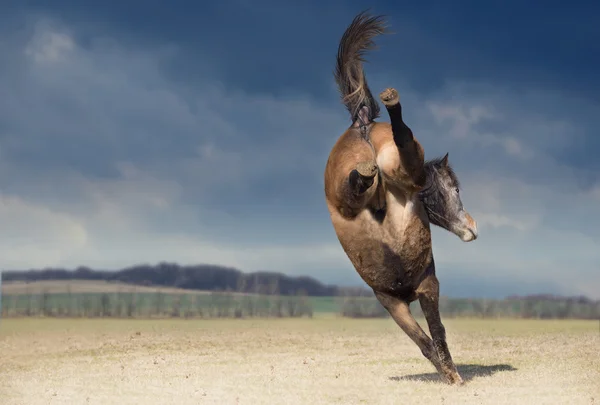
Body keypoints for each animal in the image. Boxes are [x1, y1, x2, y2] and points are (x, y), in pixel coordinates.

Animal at [324, 11, 478, 386]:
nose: (472, 227)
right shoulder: (419, 291)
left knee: (358, 183)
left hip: (348, 187)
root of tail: (362, 125)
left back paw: (366, 171)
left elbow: (425, 340)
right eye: (455, 188)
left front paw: (448, 374)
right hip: (401, 171)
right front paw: (454, 377)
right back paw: (393, 106)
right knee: (406, 149)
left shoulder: (396, 302)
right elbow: (433, 335)